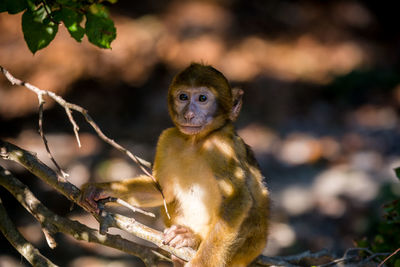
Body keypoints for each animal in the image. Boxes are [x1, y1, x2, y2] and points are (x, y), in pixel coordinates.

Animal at [79, 63, 268, 267]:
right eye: (183, 97)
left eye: (202, 98)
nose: (189, 114)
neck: (195, 142)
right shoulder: (168, 139)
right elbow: (164, 191)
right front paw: (99, 189)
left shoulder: (220, 146)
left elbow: (238, 199)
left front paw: (200, 263)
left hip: (247, 248)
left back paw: (192, 239)